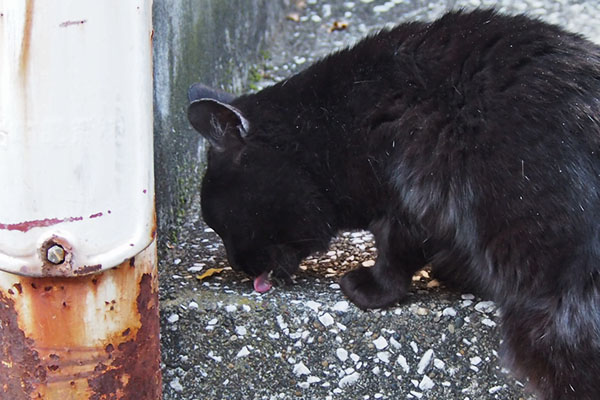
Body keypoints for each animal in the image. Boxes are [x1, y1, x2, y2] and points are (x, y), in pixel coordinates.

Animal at [188, 9, 600, 400]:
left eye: (222, 224)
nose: (238, 266)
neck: (336, 122)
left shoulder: (414, 193)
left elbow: (396, 254)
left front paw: (369, 287)